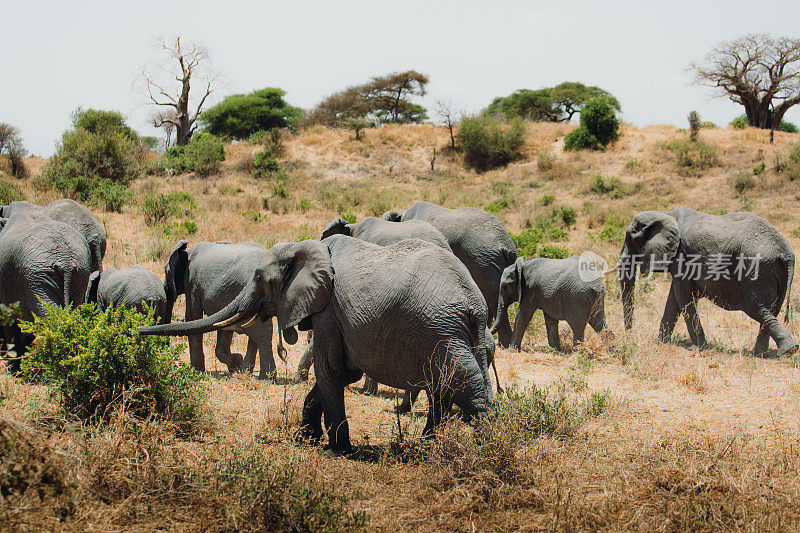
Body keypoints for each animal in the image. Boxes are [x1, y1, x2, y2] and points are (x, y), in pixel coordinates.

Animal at [164, 237, 292, 378]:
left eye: (165, 272)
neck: (188, 251)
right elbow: (223, 325)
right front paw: (235, 364)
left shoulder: (192, 283)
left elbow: (193, 316)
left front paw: (197, 372)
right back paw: (245, 371)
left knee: (260, 331)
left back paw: (263, 376)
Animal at [620, 206, 792, 356]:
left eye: (629, 238)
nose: (630, 336)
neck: (664, 213)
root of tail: (787, 252)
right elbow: (674, 300)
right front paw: (661, 343)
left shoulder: (682, 256)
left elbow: (683, 297)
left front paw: (697, 348)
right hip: (774, 271)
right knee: (772, 309)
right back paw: (762, 353)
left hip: (758, 269)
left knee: (756, 307)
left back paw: (787, 350)